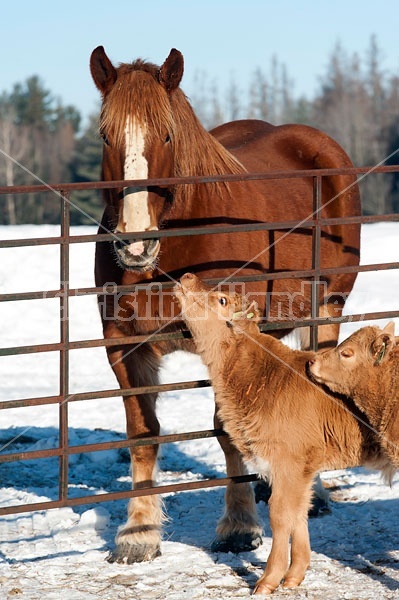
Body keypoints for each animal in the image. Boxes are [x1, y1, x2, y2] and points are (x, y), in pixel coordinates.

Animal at [90, 45, 362, 564]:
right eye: (105, 134)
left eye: (167, 134)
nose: (135, 244)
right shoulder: (123, 346)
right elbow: (143, 434)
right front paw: (138, 532)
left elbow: (225, 429)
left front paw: (238, 527)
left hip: (327, 308)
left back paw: (313, 496)